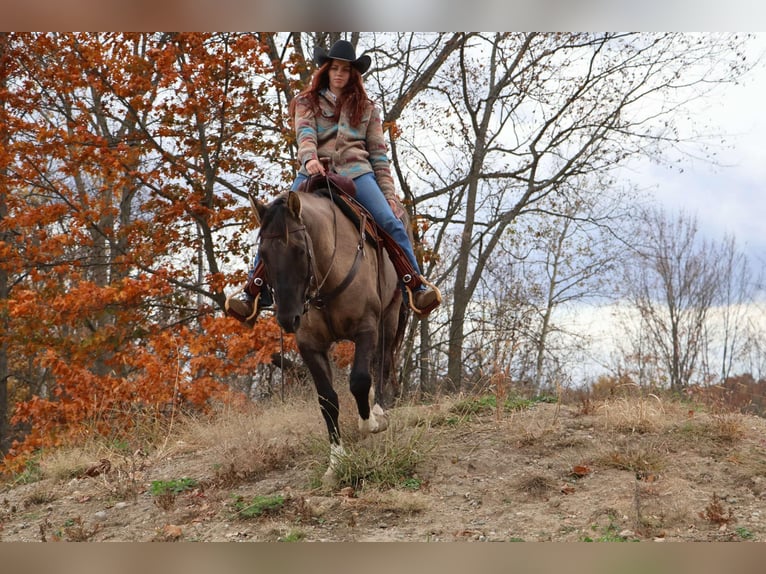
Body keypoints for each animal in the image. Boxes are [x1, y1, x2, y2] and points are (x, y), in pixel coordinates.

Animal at [254, 189, 412, 486]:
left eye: (300, 250)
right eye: (263, 255)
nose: (287, 318)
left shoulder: (366, 328)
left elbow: (360, 381)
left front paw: (369, 423)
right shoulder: (310, 345)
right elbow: (327, 400)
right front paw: (336, 462)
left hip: (390, 315)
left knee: (383, 363)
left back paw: (378, 411)